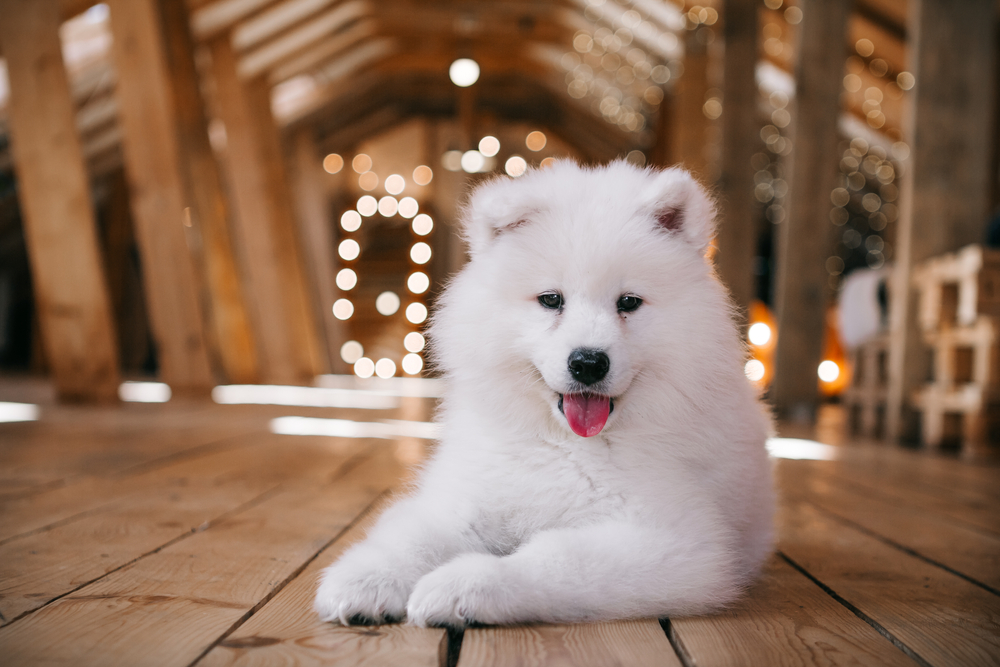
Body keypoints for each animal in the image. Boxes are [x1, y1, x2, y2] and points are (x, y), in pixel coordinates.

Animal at [312, 160, 772, 628]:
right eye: (551, 300)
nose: (588, 362)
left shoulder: (676, 541)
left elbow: (554, 559)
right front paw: (368, 578)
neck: (560, 444)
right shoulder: (465, 496)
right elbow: (413, 535)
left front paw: (465, 586)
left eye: (628, 302)